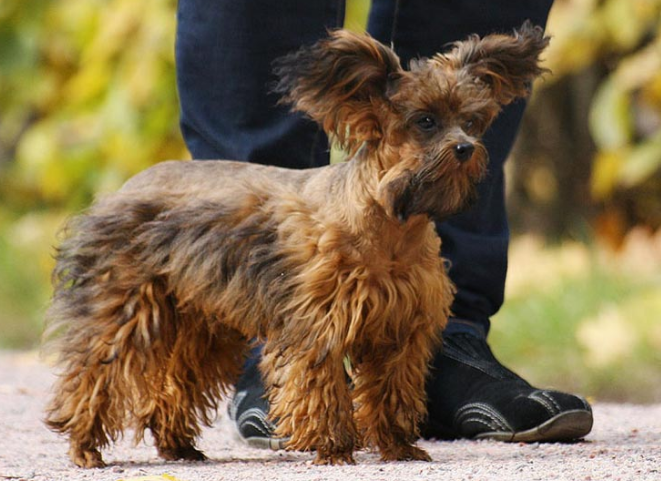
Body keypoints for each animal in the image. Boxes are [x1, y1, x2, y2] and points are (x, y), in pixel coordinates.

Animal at [42, 21, 548, 464]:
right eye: (424, 121)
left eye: (472, 121)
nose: (465, 148)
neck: (392, 228)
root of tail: (123, 188)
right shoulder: (319, 325)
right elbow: (320, 389)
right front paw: (335, 449)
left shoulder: (401, 330)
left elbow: (391, 392)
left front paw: (396, 446)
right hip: (124, 311)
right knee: (93, 376)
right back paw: (85, 447)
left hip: (200, 324)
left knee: (176, 385)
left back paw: (177, 446)